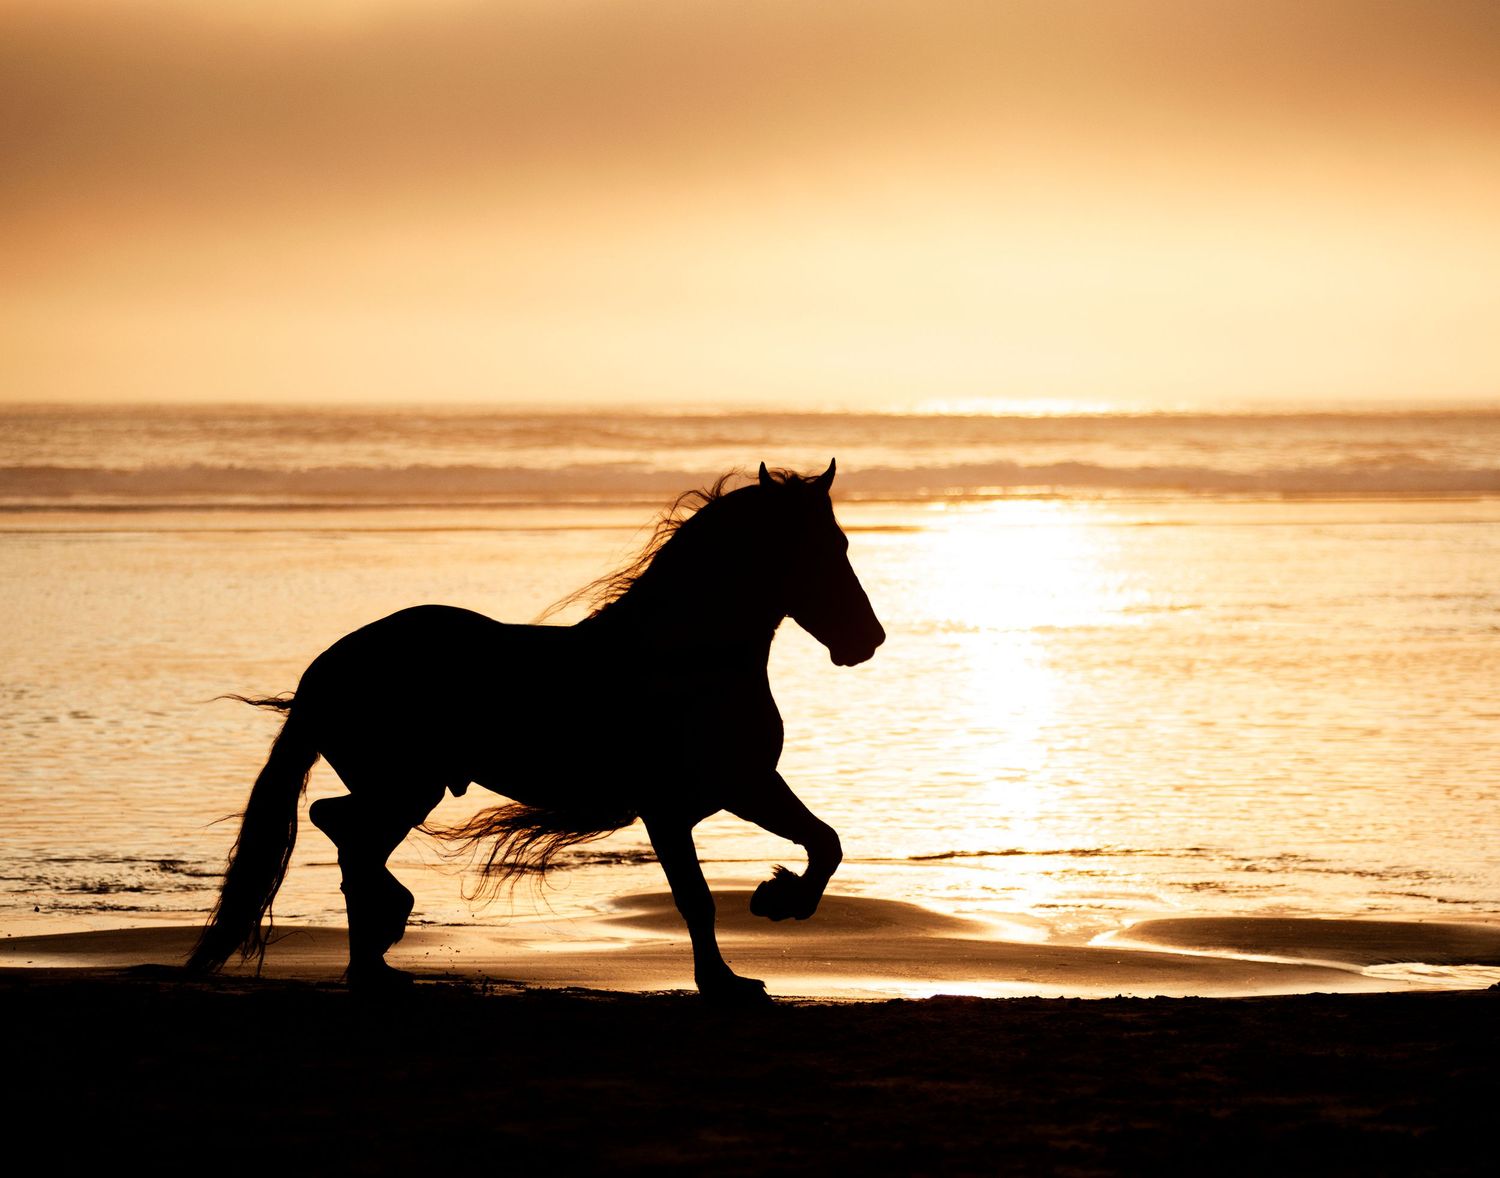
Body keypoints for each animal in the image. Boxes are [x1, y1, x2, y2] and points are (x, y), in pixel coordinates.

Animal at [187, 460, 885, 1001]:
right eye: (817, 551)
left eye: (843, 546)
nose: (867, 641)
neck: (684, 659)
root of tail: (325, 669)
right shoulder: (683, 805)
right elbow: (700, 895)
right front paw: (731, 973)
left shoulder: (742, 785)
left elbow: (824, 843)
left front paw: (777, 902)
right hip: (403, 787)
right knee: (346, 831)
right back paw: (380, 943)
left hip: (408, 790)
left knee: (345, 829)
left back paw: (379, 956)